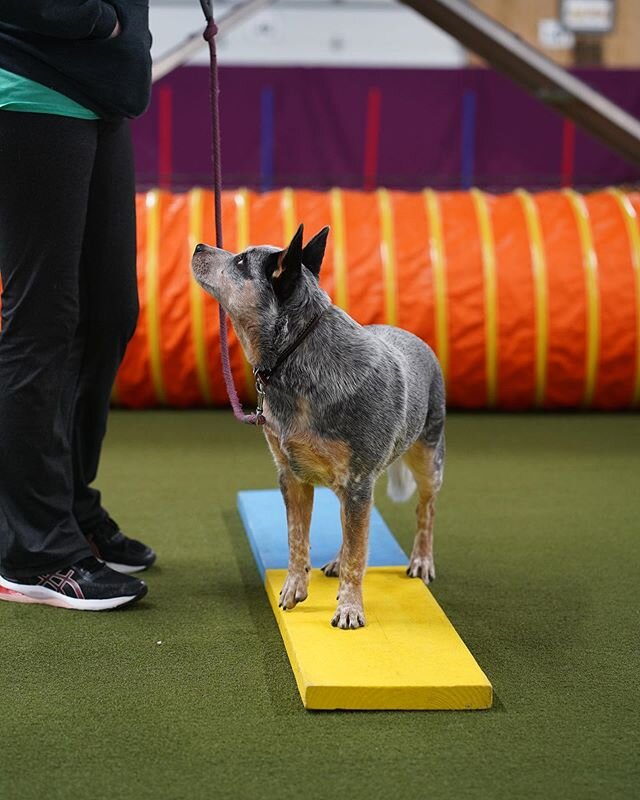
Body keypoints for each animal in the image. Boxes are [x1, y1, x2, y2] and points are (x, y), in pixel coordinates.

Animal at [191, 225, 444, 632]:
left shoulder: (357, 479)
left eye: (241, 261)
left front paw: (351, 608)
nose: (199, 245)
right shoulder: (292, 475)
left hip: (428, 458)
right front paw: (294, 589)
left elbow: (359, 552)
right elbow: (297, 539)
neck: (296, 358)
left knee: (425, 509)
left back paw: (421, 560)